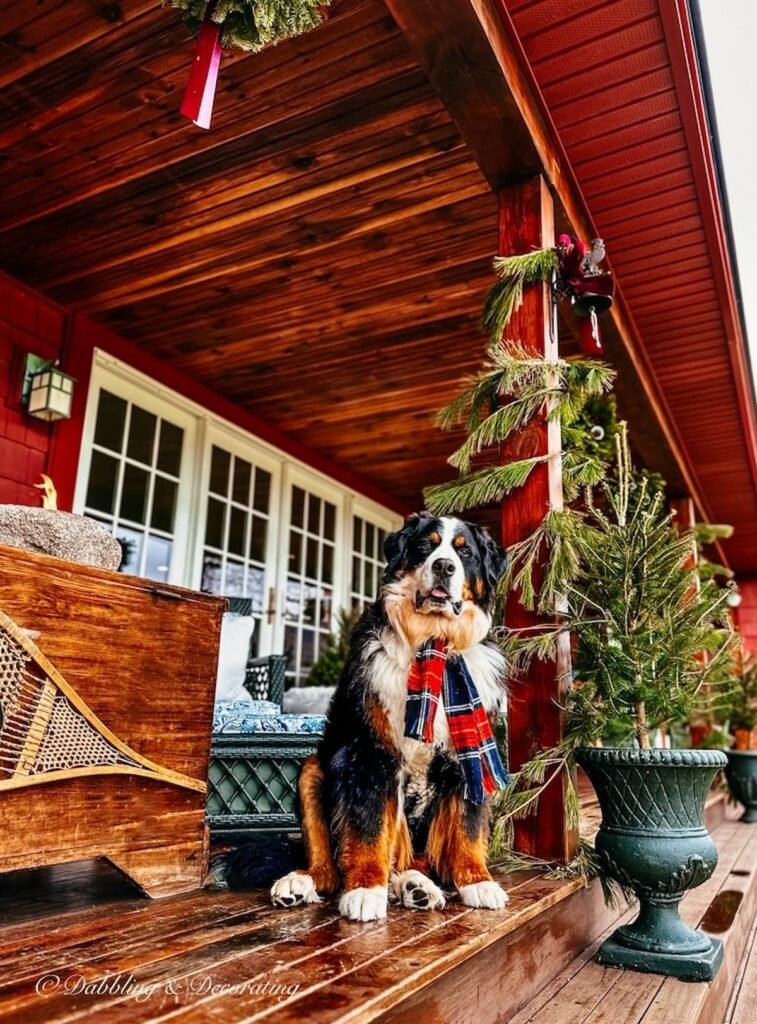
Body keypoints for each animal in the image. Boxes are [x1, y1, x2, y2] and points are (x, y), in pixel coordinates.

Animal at [270, 516, 506, 925]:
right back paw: (299, 883)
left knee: (413, 861)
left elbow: (469, 829)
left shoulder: (470, 756)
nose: (444, 567)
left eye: (465, 553)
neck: (432, 642)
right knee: (328, 868)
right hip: (312, 772)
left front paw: (478, 881)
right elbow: (369, 828)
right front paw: (366, 890)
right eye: (426, 546)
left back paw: (417, 888)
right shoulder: (371, 752)